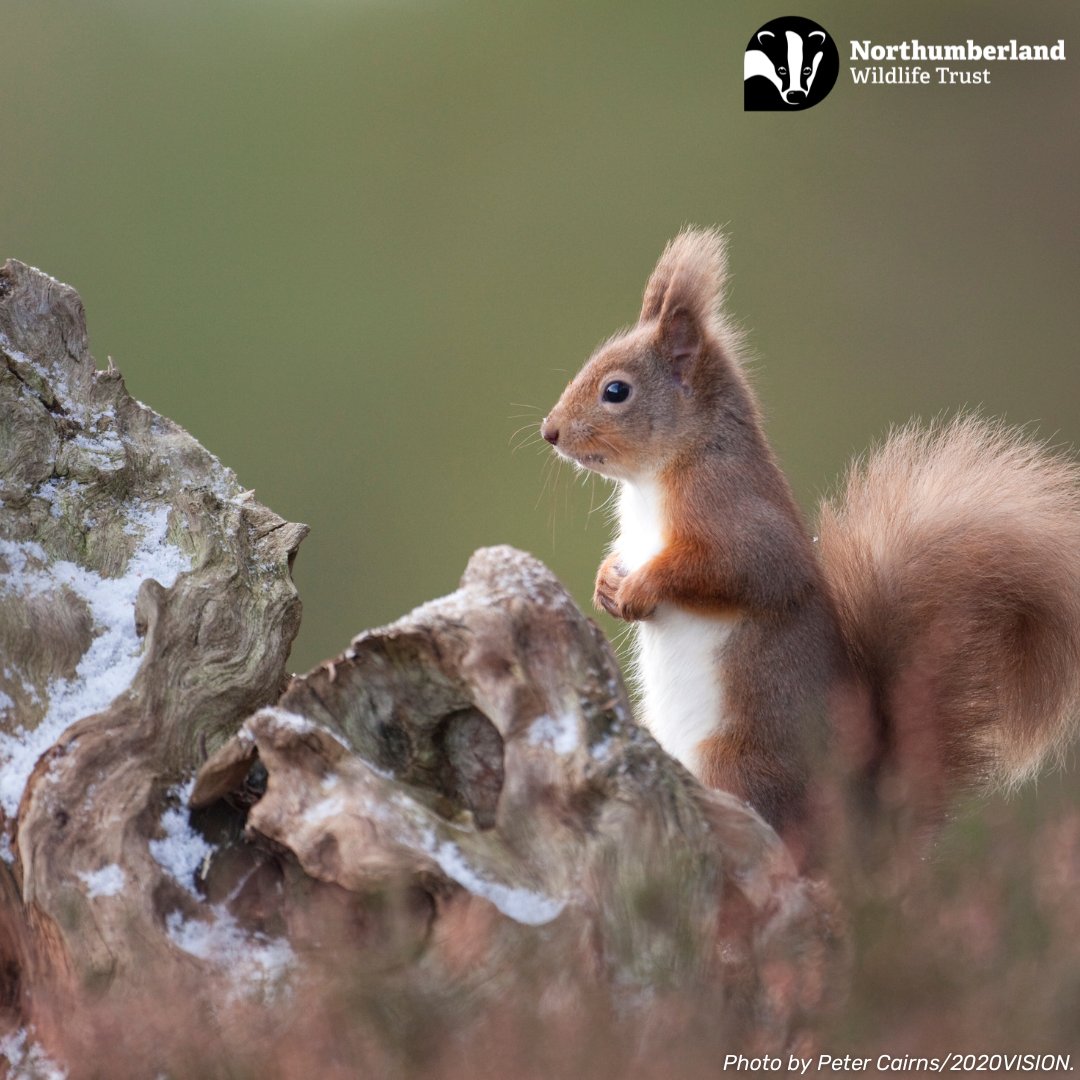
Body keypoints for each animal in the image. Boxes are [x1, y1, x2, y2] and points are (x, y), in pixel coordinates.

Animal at [544, 230, 1080, 851]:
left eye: (616, 390)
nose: (549, 432)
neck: (656, 478)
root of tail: (858, 825)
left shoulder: (736, 517)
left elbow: (733, 572)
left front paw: (639, 589)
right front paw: (608, 584)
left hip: (735, 763)